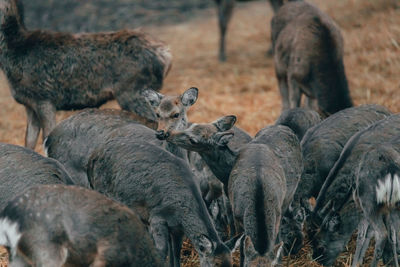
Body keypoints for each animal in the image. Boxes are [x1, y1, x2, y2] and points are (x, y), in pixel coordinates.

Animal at [0, 0, 170, 151]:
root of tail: (166, 56)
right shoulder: (29, 105)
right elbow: (29, 141)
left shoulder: (45, 98)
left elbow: (46, 137)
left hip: (132, 91)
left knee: (155, 121)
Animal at [85, 138, 233, 267]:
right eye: (215, 265)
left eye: (231, 264)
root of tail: (92, 157)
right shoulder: (156, 217)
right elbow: (162, 252)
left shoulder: (177, 229)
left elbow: (176, 253)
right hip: (101, 189)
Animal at [310, 114, 400, 266]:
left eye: (321, 246)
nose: (318, 261)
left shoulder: (366, 207)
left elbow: (363, 235)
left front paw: (357, 262)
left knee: (381, 234)